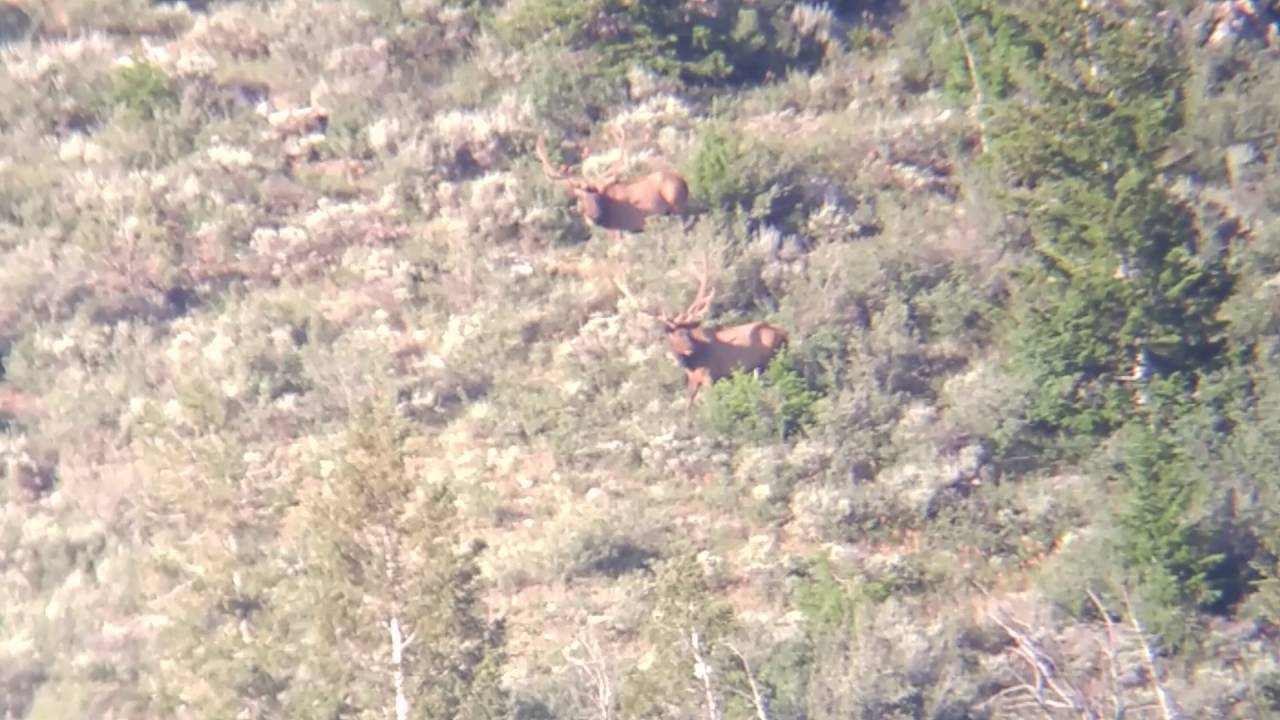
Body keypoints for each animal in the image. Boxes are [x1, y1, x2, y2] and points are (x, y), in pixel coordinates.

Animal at [535, 128, 689, 241]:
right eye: (581, 197)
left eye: (597, 196)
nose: (595, 216)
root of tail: (684, 183)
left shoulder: (620, 230)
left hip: (676, 205)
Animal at [616, 262, 790, 407]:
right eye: (675, 334)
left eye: (687, 332)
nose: (690, 348)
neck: (691, 364)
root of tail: (784, 332)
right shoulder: (693, 379)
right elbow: (688, 404)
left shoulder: (710, 375)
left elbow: (710, 403)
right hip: (760, 365)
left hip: (770, 358)